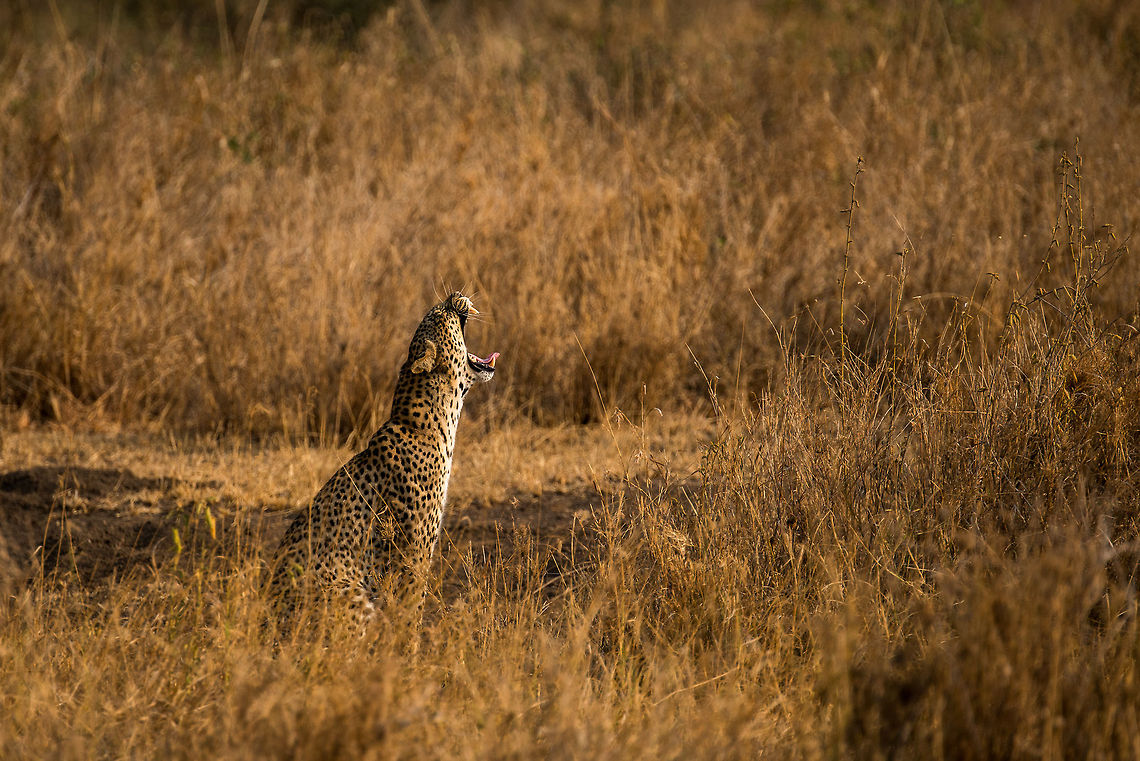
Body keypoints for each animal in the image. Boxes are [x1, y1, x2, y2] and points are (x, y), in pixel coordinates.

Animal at [269, 292, 498, 630]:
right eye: (438, 314)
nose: (453, 296)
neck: (438, 421)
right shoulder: (414, 550)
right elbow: (411, 610)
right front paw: (410, 644)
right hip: (349, 592)